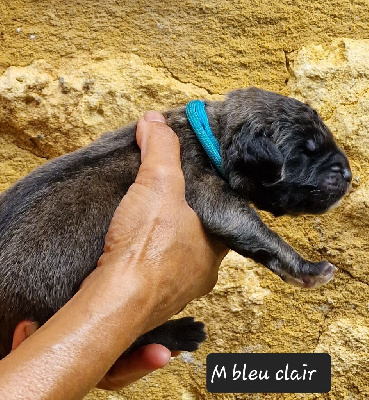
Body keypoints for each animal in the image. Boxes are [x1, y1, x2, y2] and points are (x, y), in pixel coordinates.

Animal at [0, 86, 350, 356]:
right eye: (304, 152)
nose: (348, 174)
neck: (214, 135)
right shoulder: (207, 191)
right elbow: (257, 232)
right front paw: (308, 268)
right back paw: (179, 333)